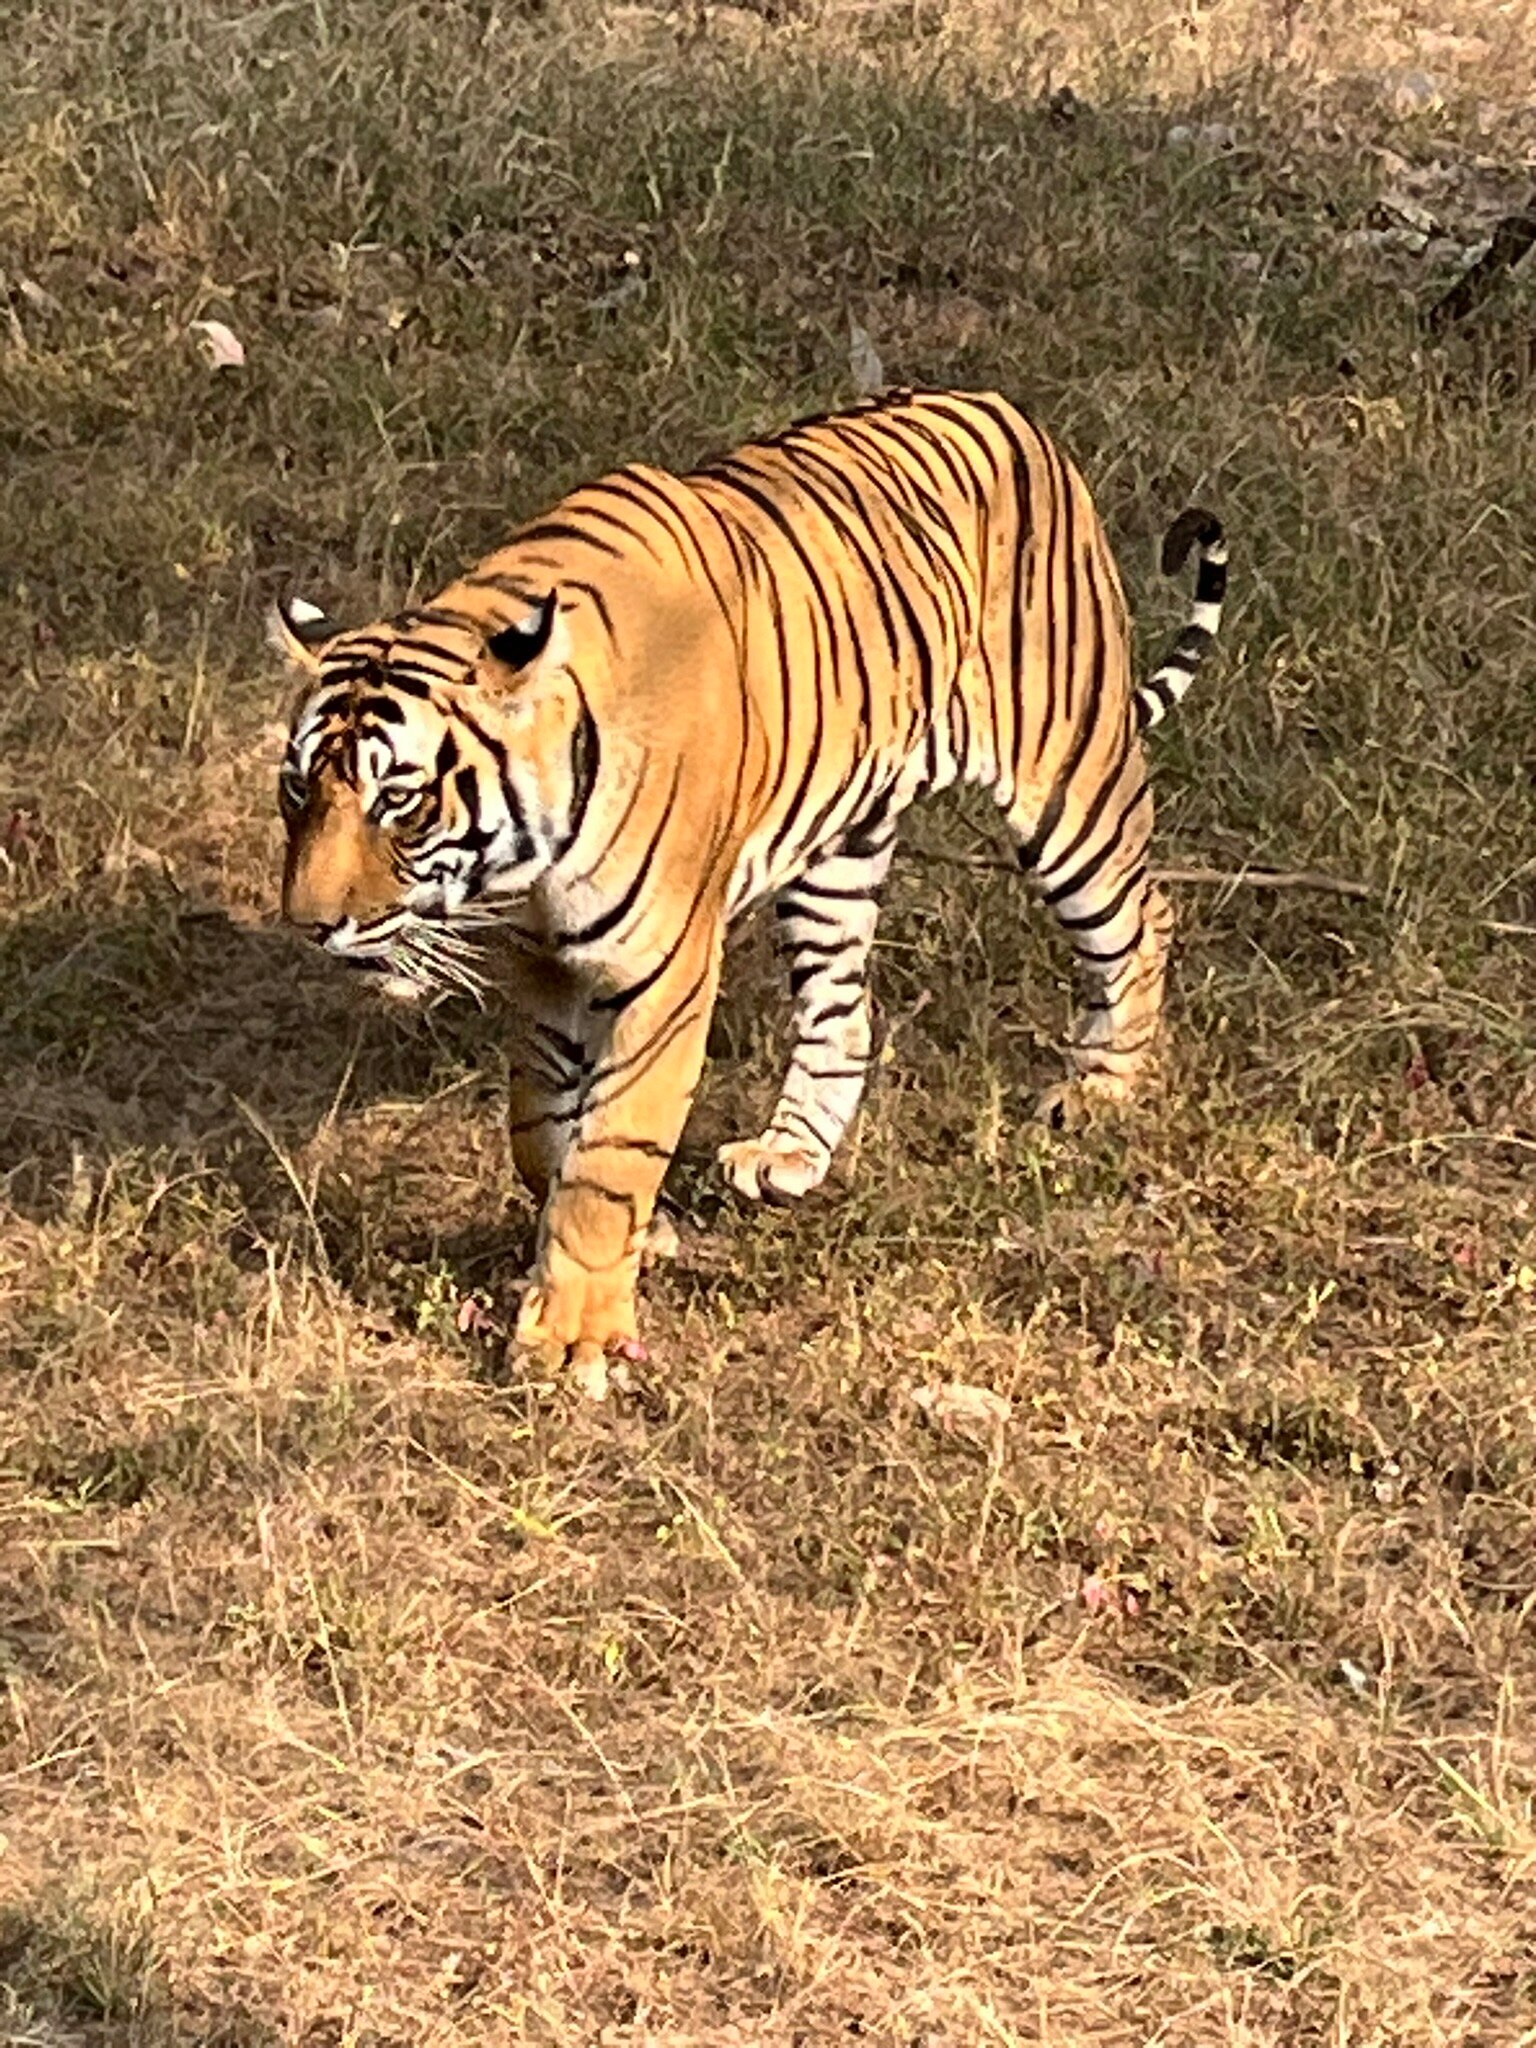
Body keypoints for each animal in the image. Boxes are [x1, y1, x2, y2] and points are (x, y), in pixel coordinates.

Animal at [271, 387, 1226, 1380]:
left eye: (398, 799)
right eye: (299, 788)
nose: (310, 924)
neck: (528, 860)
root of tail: (1005, 408)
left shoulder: (661, 978)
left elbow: (611, 1153)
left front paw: (573, 1338)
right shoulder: (543, 968)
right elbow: (540, 1127)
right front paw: (621, 1241)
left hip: (1069, 780)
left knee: (1143, 918)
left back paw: (1100, 1088)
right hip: (837, 850)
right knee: (845, 1012)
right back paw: (788, 1154)